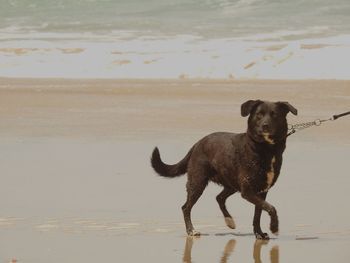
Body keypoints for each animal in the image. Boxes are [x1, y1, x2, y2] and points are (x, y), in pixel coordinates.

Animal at [150, 100, 296, 240]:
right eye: (259, 115)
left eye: (274, 115)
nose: (265, 125)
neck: (266, 148)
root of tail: (197, 143)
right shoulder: (247, 191)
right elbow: (271, 207)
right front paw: (274, 227)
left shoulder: (261, 191)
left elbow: (258, 213)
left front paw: (259, 233)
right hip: (198, 182)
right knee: (186, 207)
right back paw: (191, 230)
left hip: (231, 183)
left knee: (219, 197)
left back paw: (229, 221)